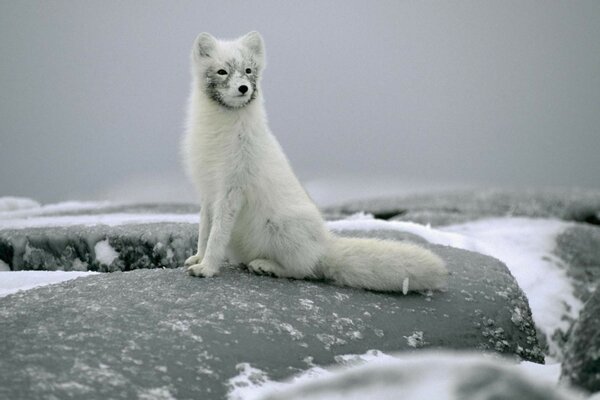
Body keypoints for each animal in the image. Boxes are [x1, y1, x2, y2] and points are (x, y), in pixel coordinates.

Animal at [180, 31, 448, 292]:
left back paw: (267, 266)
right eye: (222, 71)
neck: (219, 131)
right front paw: (198, 257)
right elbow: (204, 230)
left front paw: (207, 268)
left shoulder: (231, 190)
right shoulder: (208, 190)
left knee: (303, 270)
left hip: (282, 227)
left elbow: (217, 235)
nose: (244, 88)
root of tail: (325, 246)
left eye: (248, 70)